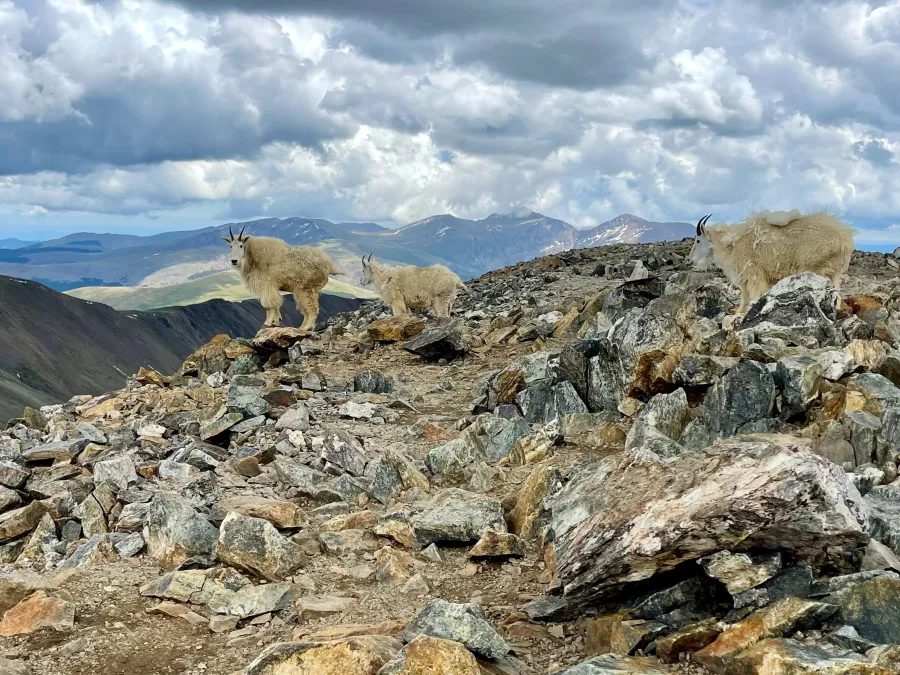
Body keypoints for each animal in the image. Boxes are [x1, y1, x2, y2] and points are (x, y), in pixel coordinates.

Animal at [687, 210, 854, 313]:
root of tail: (845, 239)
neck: (731, 244)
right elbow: (744, 297)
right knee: (837, 296)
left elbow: (753, 295)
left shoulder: (752, 274)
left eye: (698, 240)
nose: (689, 260)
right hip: (834, 273)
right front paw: (738, 313)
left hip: (817, 269)